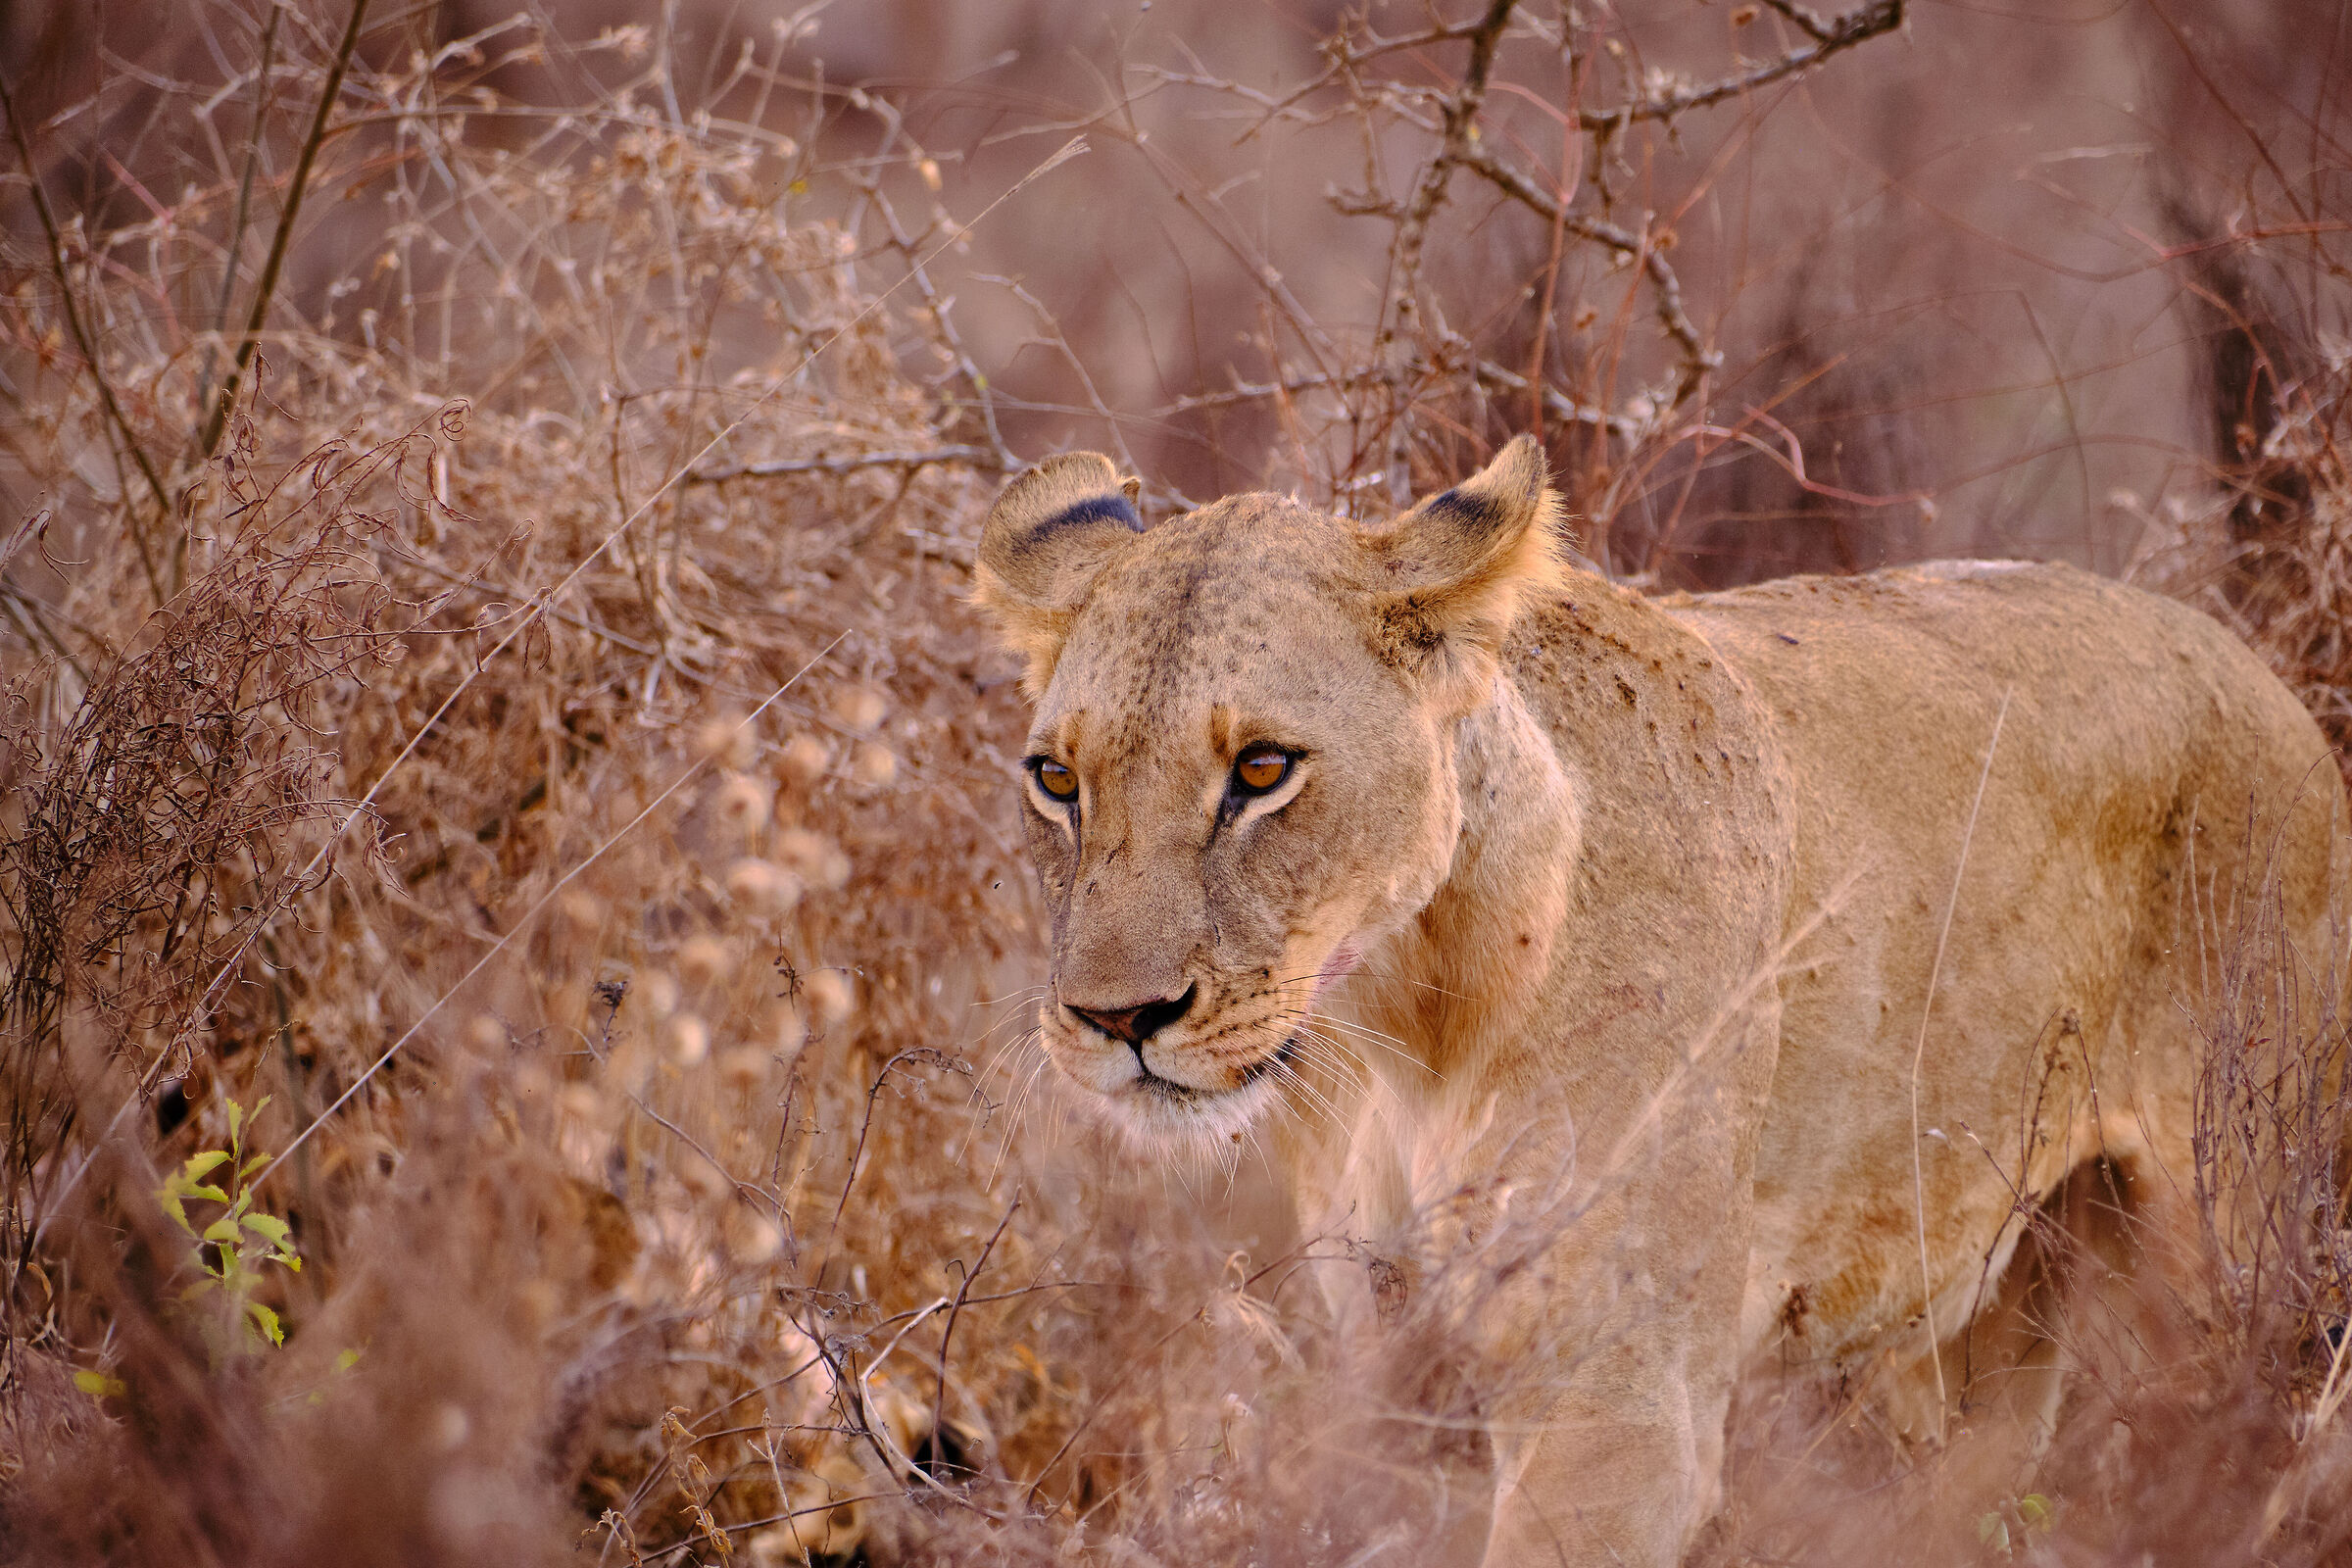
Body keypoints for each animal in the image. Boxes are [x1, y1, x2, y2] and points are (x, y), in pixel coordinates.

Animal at [971, 435, 2346, 1565]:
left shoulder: (1621, 1407)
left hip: (2248, 1253)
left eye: (1262, 770)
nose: (1117, 1021)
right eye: (1057, 780)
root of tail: (2261, 672)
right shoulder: (1395, 1378)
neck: (1405, 1025)